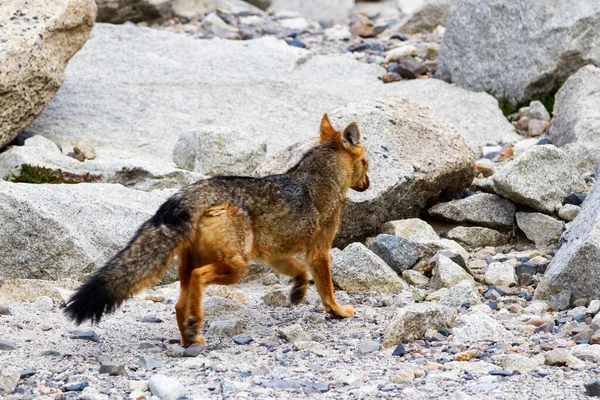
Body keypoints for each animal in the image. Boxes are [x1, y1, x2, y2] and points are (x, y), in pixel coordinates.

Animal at [63, 113, 368, 346]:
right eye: (367, 163)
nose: (369, 183)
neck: (320, 175)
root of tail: (191, 192)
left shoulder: (275, 254)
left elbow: (300, 271)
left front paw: (298, 291)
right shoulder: (319, 251)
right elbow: (326, 287)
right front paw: (337, 311)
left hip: (199, 265)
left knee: (178, 304)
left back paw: (190, 337)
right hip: (237, 266)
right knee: (199, 279)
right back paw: (195, 326)